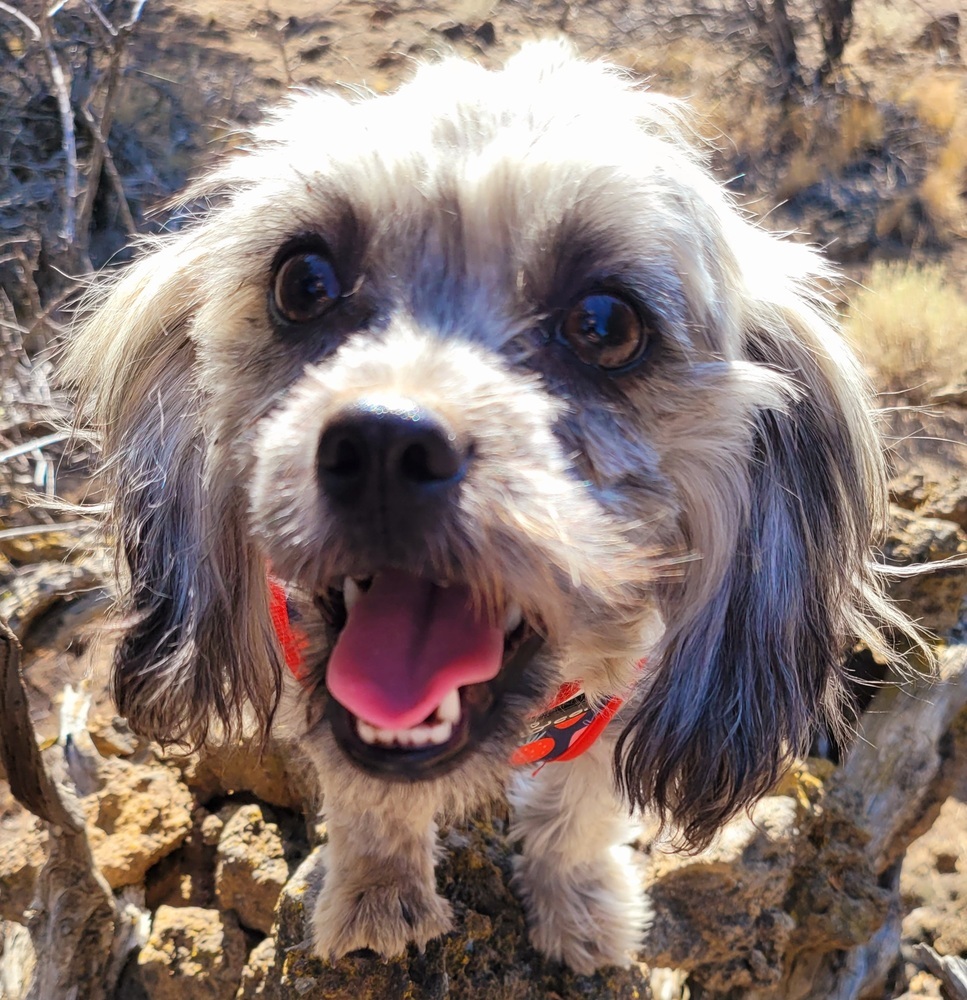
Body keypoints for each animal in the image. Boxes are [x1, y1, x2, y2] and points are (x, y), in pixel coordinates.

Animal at [64, 43, 920, 972]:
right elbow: (367, 801)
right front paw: (378, 898)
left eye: (604, 322)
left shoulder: (607, 709)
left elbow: (577, 810)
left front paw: (580, 909)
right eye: (303, 280)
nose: (384, 446)